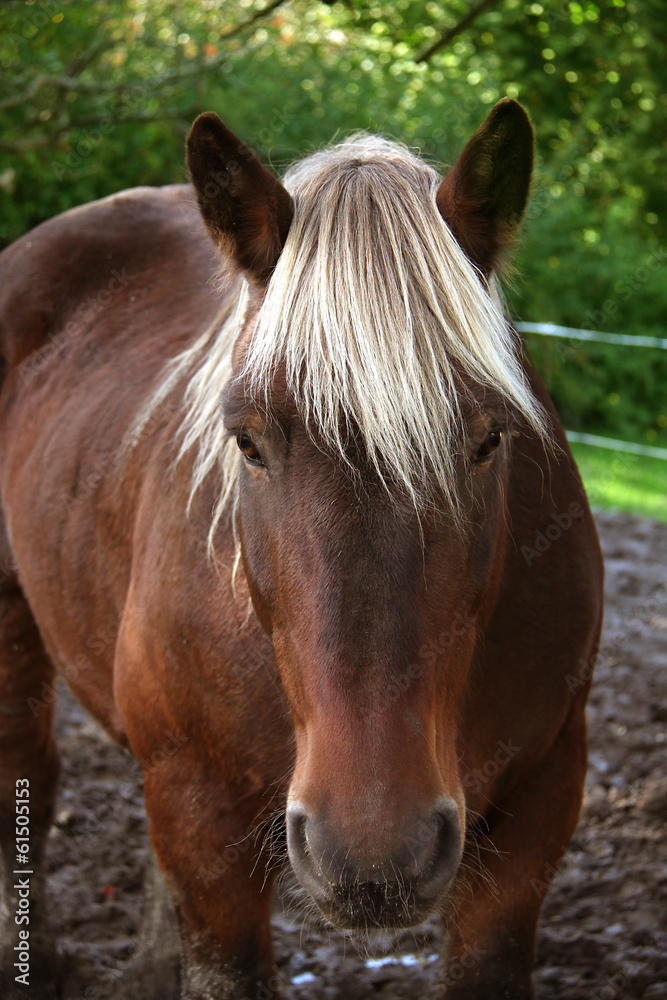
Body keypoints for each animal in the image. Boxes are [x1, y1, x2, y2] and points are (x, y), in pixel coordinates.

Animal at [0, 98, 603, 1000]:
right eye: (247, 443)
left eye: (489, 439)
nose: (374, 851)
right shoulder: (200, 817)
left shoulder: (540, 797)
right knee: (24, 774)